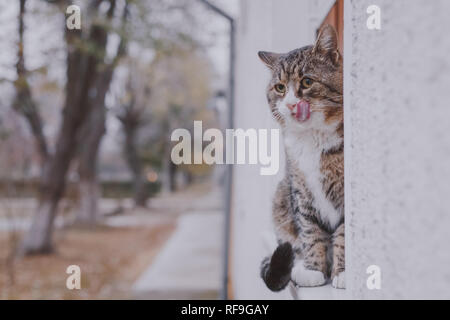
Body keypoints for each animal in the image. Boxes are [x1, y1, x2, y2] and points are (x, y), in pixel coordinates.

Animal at [256, 23, 344, 292]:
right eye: (280, 87)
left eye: (306, 81)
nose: (292, 104)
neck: (312, 138)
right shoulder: (301, 190)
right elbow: (310, 230)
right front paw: (313, 270)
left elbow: (343, 234)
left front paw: (343, 273)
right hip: (280, 196)